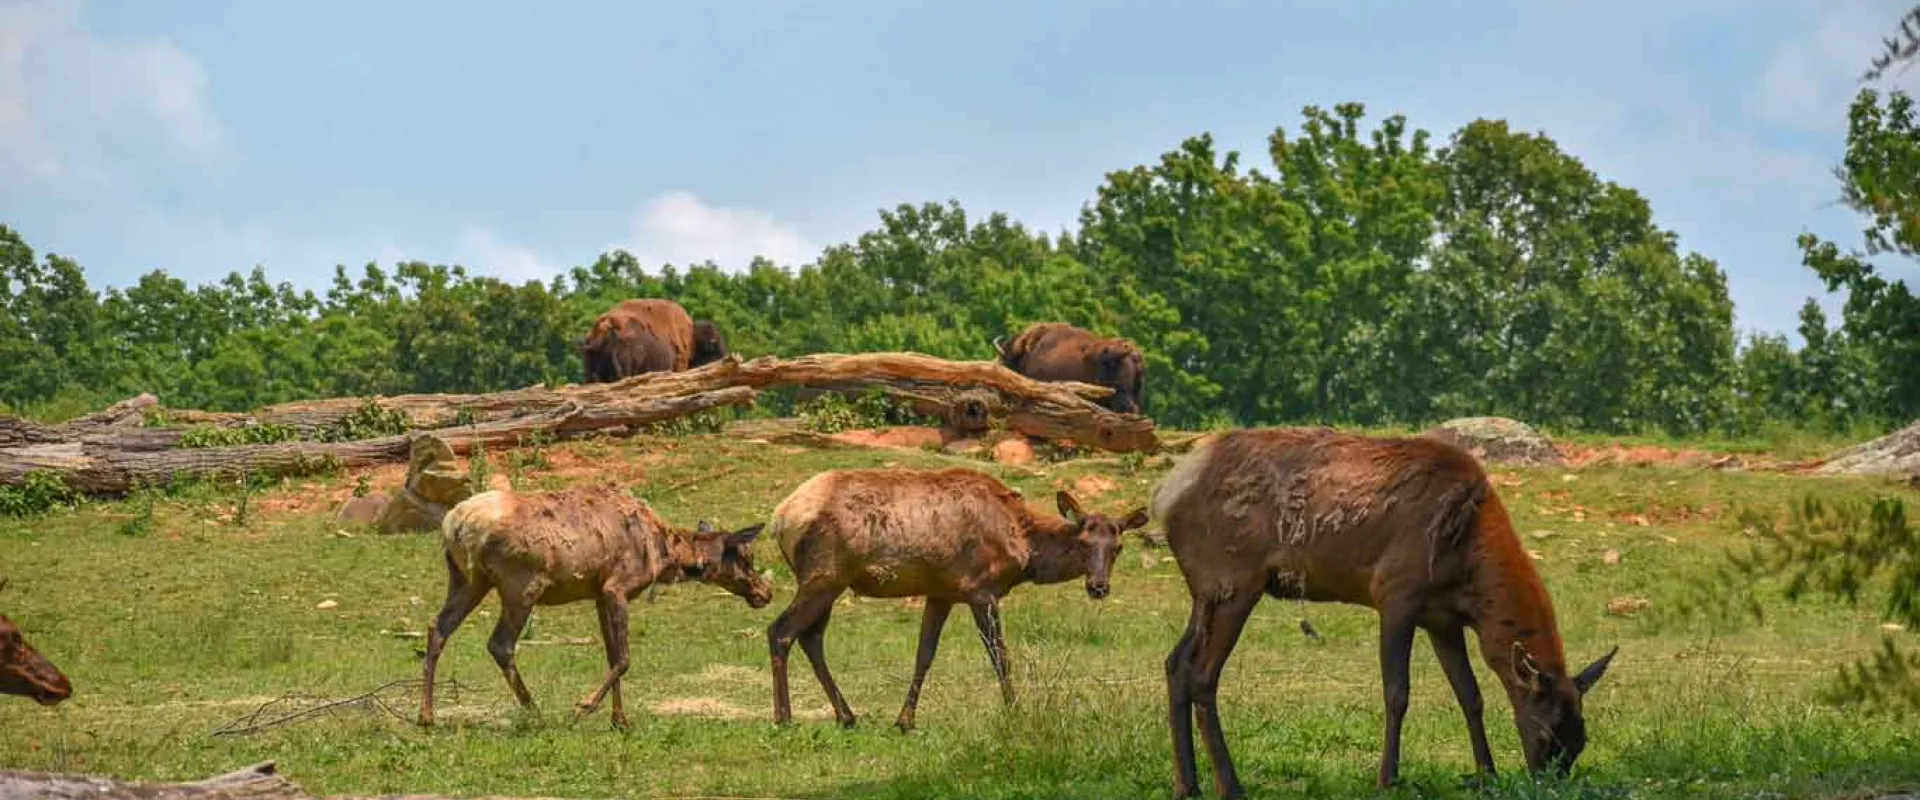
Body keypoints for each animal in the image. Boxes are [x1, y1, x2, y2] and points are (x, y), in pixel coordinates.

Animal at [417, 485, 774, 729]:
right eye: (747, 557)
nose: (766, 592)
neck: (664, 554)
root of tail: (454, 525)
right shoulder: (617, 586)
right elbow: (625, 658)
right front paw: (585, 706)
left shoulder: (600, 594)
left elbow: (612, 655)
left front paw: (620, 720)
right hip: (520, 586)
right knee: (499, 643)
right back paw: (534, 712)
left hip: (467, 580)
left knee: (437, 627)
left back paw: (426, 715)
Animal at [763, 467, 1148, 731]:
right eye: (1083, 543)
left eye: (1118, 547)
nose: (1098, 587)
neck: (1024, 547)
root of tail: (780, 518)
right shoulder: (982, 590)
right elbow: (1000, 655)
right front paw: (1015, 710)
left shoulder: (941, 592)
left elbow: (924, 655)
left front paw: (905, 720)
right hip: (824, 575)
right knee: (781, 630)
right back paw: (784, 717)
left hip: (829, 582)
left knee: (811, 638)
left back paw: (846, 715)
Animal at [1151, 428, 1618, 797]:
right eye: (1546, 732)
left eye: (1581, 739)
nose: (1551, 783)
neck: (1470, 578)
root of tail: (1166, 492)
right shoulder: (1395, 592)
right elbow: (1397, 692)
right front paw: (1388, 777)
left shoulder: (1442, 620)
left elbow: (1470, 696)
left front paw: (1487, 773)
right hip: (1233, 581)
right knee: (1202, 675)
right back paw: (1229, 784)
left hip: (1206, 593)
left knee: (1176, 662)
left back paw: (1187, 784)